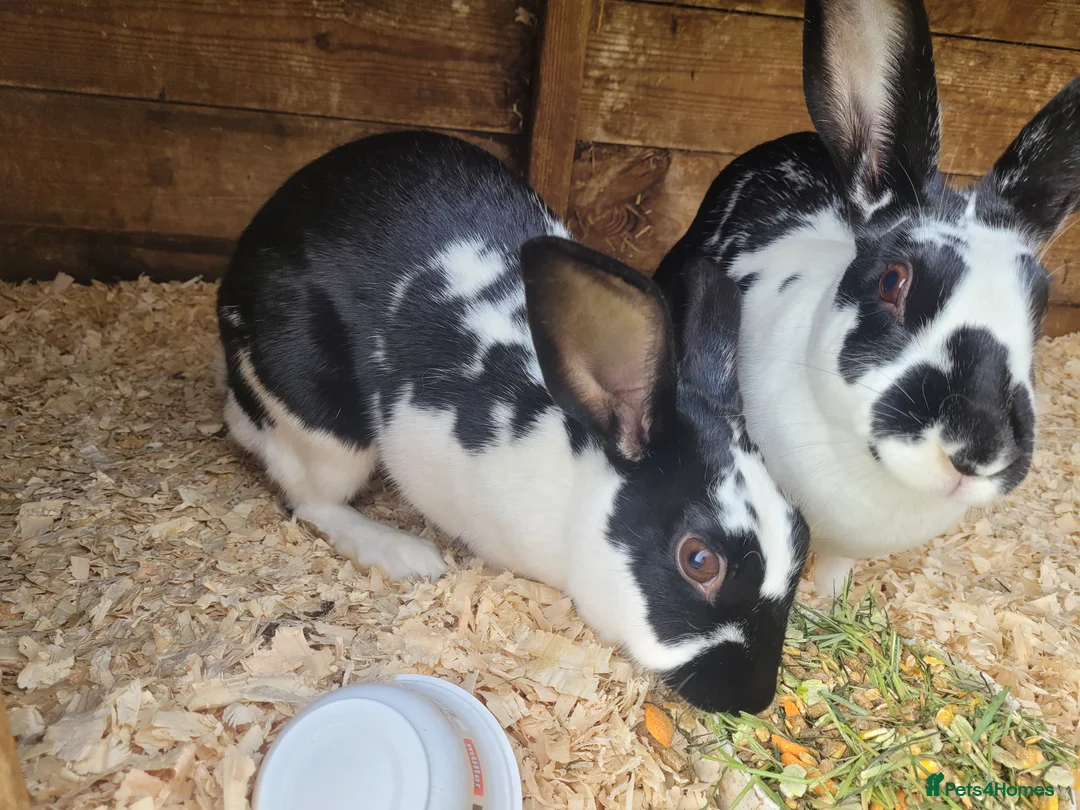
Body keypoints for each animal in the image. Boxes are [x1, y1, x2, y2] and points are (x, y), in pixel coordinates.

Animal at [216, 130, 811, 713]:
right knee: (311, 501)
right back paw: (406, 554)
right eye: (699, 561)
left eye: (802, 535)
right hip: (326, 428)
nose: (751, 699)